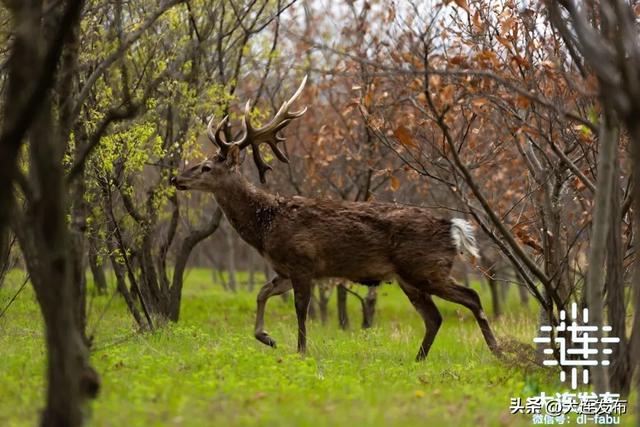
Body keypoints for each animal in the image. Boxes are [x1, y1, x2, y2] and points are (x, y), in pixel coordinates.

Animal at [172, 77, 502, 362]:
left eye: (205, 167)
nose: (176, 178)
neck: (265, 226)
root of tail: (453, 227)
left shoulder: (302, 261)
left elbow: (301, 310)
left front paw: (300, 351)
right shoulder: (285, 270)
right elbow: (262, 292)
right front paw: (267, 337)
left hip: (426, 267)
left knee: (471, 296)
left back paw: (497, 351)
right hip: (408, 277)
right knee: (434, 317)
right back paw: (418, 359)